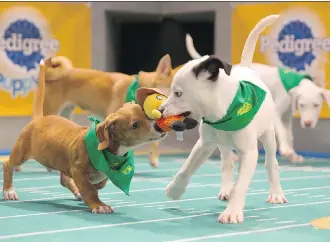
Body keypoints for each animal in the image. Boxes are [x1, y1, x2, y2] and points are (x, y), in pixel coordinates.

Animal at [3, 60, 166, 214]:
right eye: (134, 125)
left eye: (147, 114)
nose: (159, 127)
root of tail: (39, 119)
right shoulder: (77, 170)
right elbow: (90, 189)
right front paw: (98, 205)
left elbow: (98, 183)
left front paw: (90, 189)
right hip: (21, 152)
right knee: (8, 165)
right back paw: (8, 191)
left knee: (64, 179)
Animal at [160, 14, 288, 223]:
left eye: (178, 93)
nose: (160, 110)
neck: (223, 113)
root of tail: (246, 68)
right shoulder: (204, 144)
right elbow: (185, 169)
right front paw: (175, 189)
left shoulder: (249, 153)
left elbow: (242, 184)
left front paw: (232, 211)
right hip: (223, 145)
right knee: (227, 163)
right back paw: (227, 189)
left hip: (268, 135)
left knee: (271, 163)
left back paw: (276, 193)